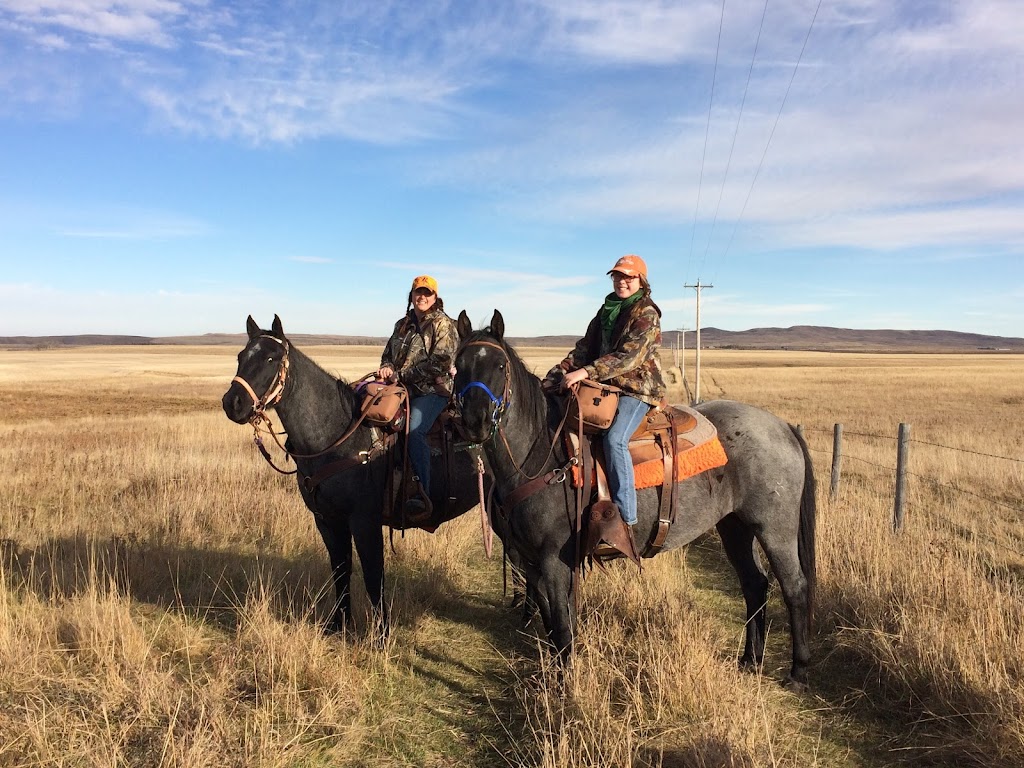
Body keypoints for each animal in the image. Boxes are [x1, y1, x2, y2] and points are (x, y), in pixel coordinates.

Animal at [223, 315, 491, 638]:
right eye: (241, 357)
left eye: (271, 358)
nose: (232, 403)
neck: (336, 435)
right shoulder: (327, 520)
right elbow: (341, 570)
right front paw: (338, 625)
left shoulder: (365, 521)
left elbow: (374, 575)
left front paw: (381, 636)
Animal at [452, 309, 819, 688]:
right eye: (457, 365)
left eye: (499, 366)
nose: (475, 421)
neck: (542, 454)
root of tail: (782, 426)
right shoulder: (530, 561)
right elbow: (553, 625)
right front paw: (554, 676)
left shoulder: (554, 561)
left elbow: (563, 628)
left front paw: (565, 685)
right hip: (735, 527)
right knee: (754, 584)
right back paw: (750, 660)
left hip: (775, 529)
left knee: (794, 587)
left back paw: (798, 671)